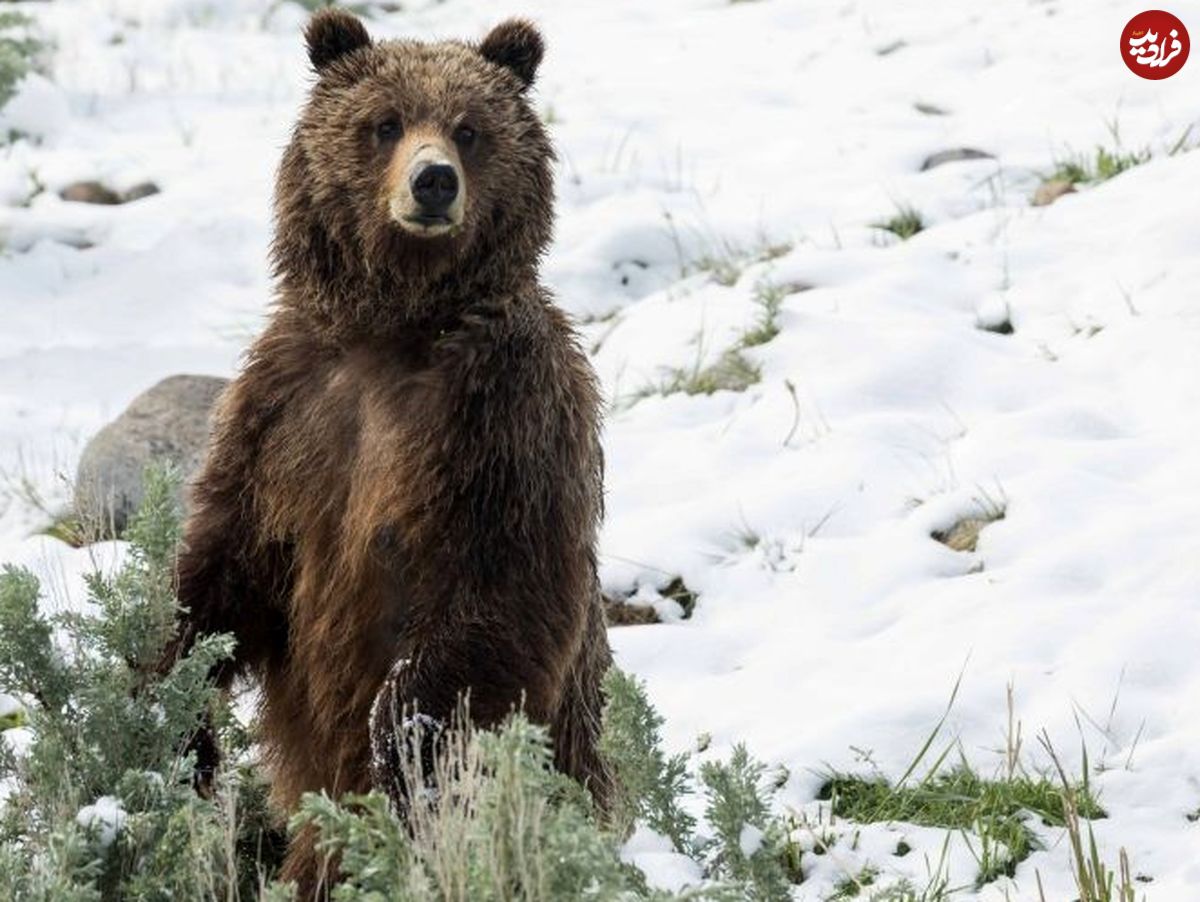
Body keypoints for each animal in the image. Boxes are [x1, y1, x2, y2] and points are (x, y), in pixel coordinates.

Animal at [159, 8, 609, 897]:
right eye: (386, 122)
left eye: (469, 129)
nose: (433, 181)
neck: (395, 330)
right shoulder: (287, 415)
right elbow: (223, 569)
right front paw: (175, 718)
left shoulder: (503, 422)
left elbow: (494, 602)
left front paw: (404, 749)